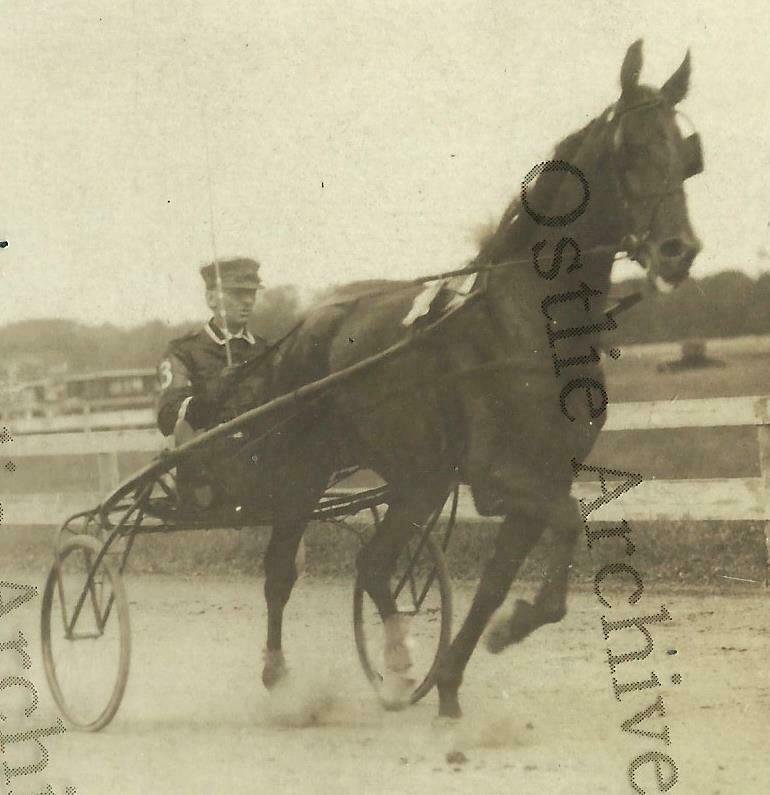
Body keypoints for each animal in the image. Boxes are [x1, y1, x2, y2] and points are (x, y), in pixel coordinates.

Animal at [250, 38, 696, 720]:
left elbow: (499, 581)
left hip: (421, 477)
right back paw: (280, 675)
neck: (529, 323)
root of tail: (306, 324)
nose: (680, 250)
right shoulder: (495, 477)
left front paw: (456, 681)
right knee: (281, 567)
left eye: (685, 150)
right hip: (307, 466)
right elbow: (568, 523)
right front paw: (511, 629)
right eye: (632, 147)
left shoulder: (542, 473)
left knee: (375, 564)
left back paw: (400, 665)